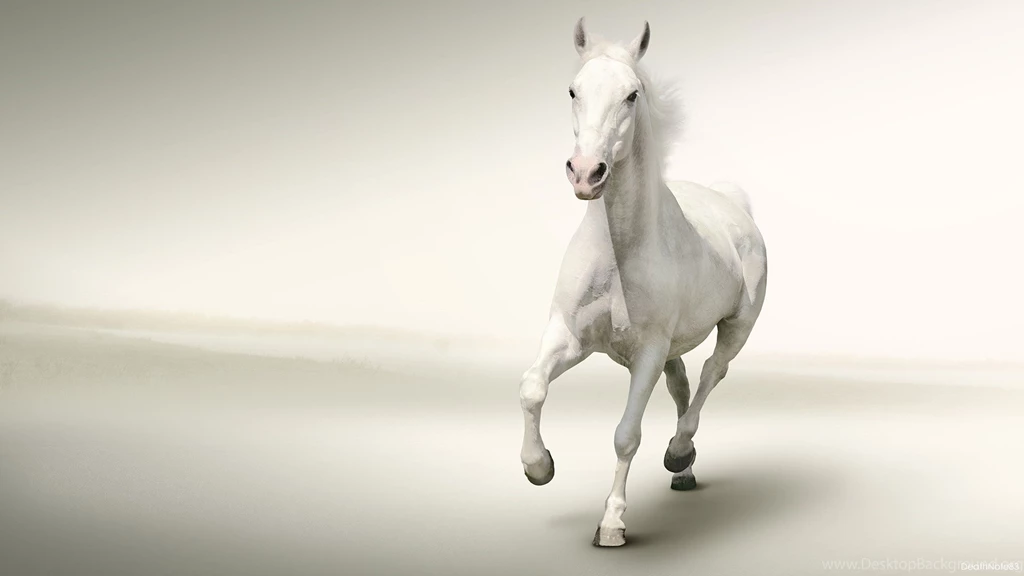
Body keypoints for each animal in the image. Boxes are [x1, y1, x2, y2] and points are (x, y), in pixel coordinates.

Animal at [518, 18, 768, 547]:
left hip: (737, 327)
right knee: (683, 384)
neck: (618, 253)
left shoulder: (648, 353)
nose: (586, 173)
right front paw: (538, 467)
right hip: (674, 347)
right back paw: (684, 471)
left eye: (632, 95)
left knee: (712, 373)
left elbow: (626, 435)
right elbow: (532, 387)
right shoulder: (569, 336)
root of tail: (732, 203)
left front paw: (612, 524)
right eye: (573, 89)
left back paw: (679, 452)